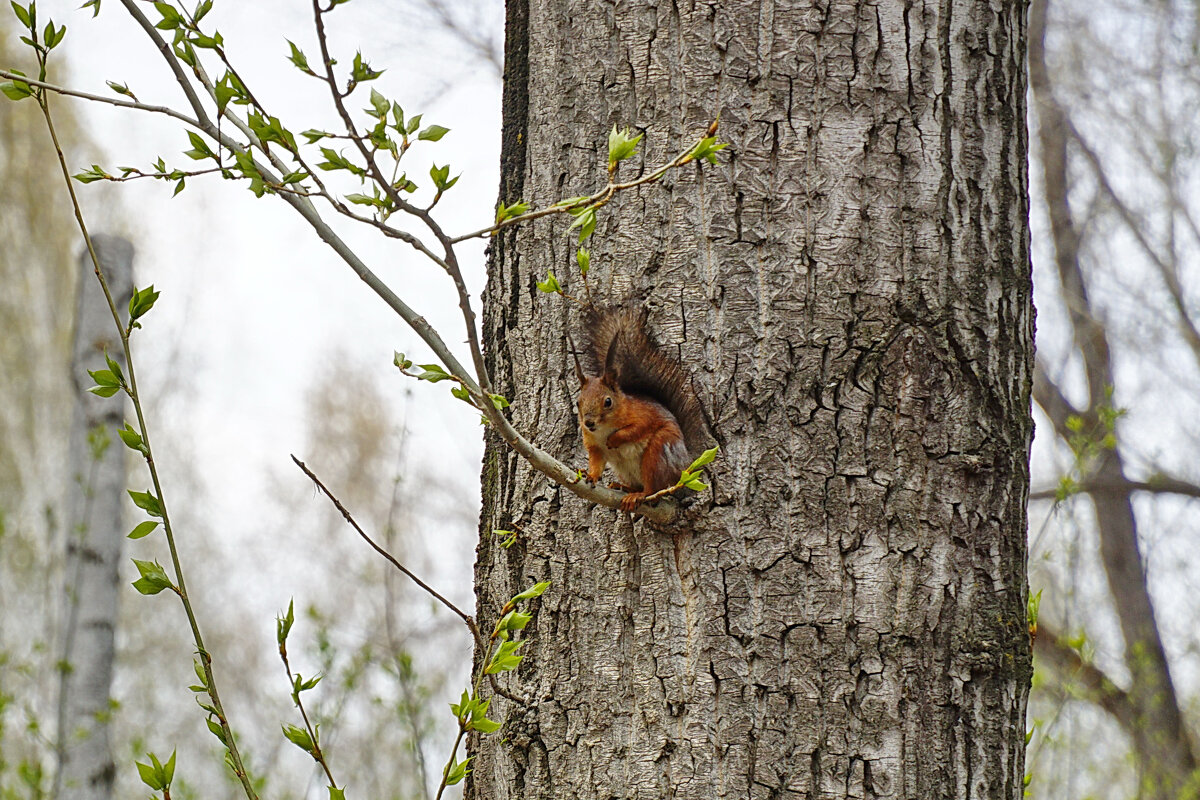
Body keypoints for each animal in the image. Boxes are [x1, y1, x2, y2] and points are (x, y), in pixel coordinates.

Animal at [571, 307, 700, 513]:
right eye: (577, 402)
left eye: (608, 401)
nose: (588, 423)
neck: (603, 428)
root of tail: (684, 465)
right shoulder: (593, 445)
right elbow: (596, 462)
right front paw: (591, 475)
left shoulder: (644, 416)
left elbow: (637, 429)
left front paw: (615, 439)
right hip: (624, 469)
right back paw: (625, 487)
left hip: (657, 453)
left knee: (653, 488)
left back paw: (639, 495)